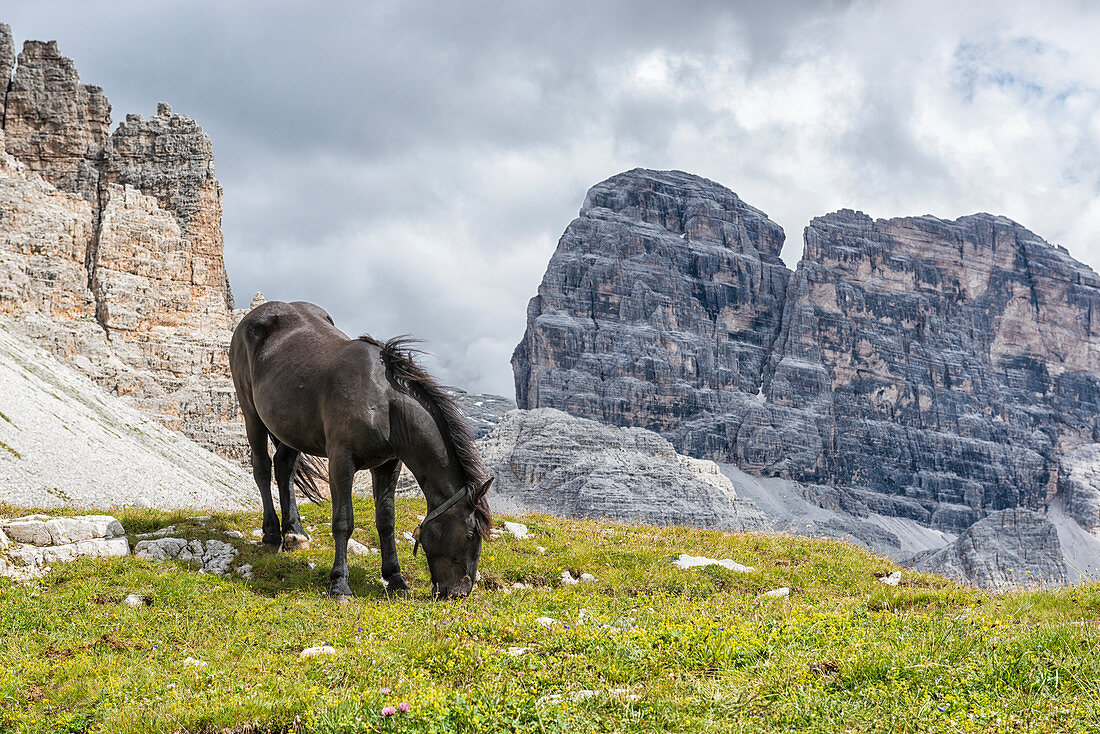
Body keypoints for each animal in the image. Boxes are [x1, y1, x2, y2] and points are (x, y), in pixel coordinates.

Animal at [229, 301, 492, 598]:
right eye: (470, 534)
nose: (459, 592)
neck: (384, 404)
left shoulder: (388, 465)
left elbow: (386, 521)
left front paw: (396, 579)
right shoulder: (341, 462)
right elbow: (343, 521)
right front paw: (340, 584)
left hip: (290, 428)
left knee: (285, 467)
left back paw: (295, 532)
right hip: (251, 413)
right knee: (262, 468)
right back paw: (273, 534)